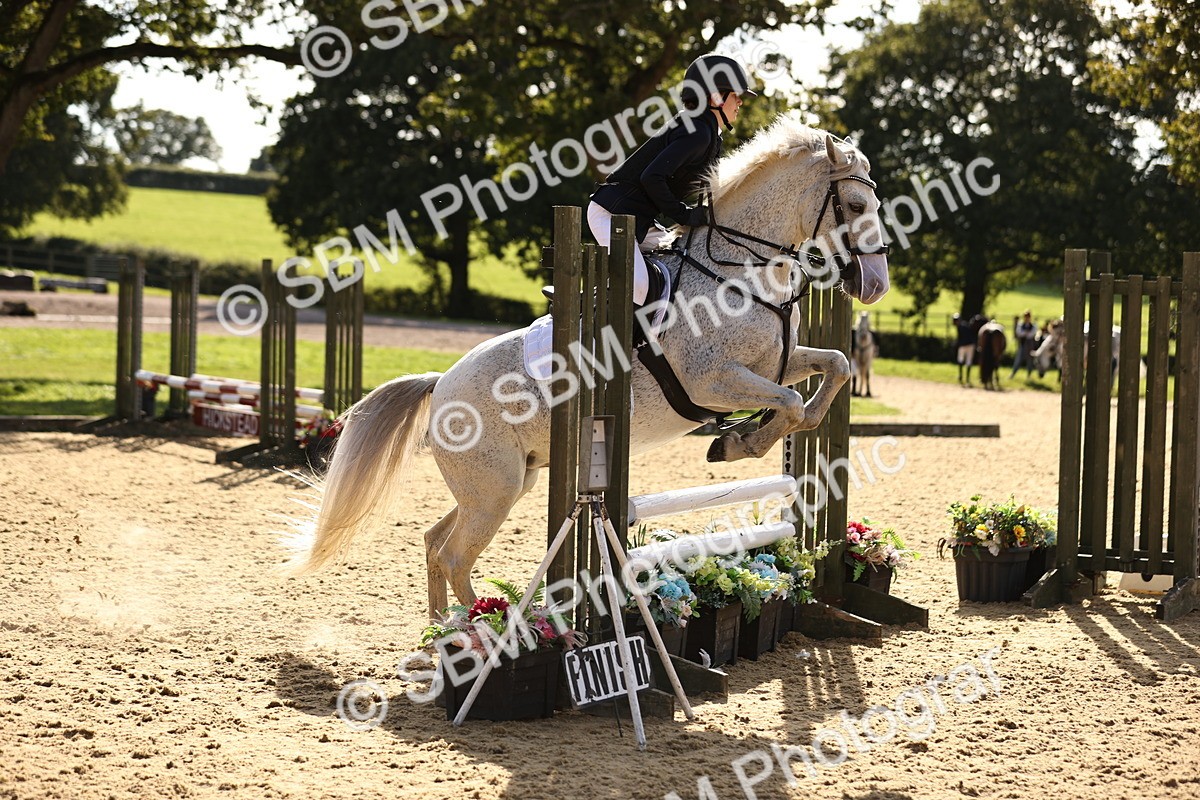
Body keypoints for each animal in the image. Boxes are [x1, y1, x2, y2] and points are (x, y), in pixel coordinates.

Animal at [286, 118, 891, 617]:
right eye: (856, 205)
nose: (875, 286)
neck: (740, 269)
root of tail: (440, 386)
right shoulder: (711, 381)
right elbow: (788, 403)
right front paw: (739, 443)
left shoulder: (774, 364)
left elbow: (831, 370)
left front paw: (747, 437)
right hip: (495, 490)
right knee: (455, 556)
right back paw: (486, 635)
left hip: (510, 483)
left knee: (436, 544)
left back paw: (443, 631)